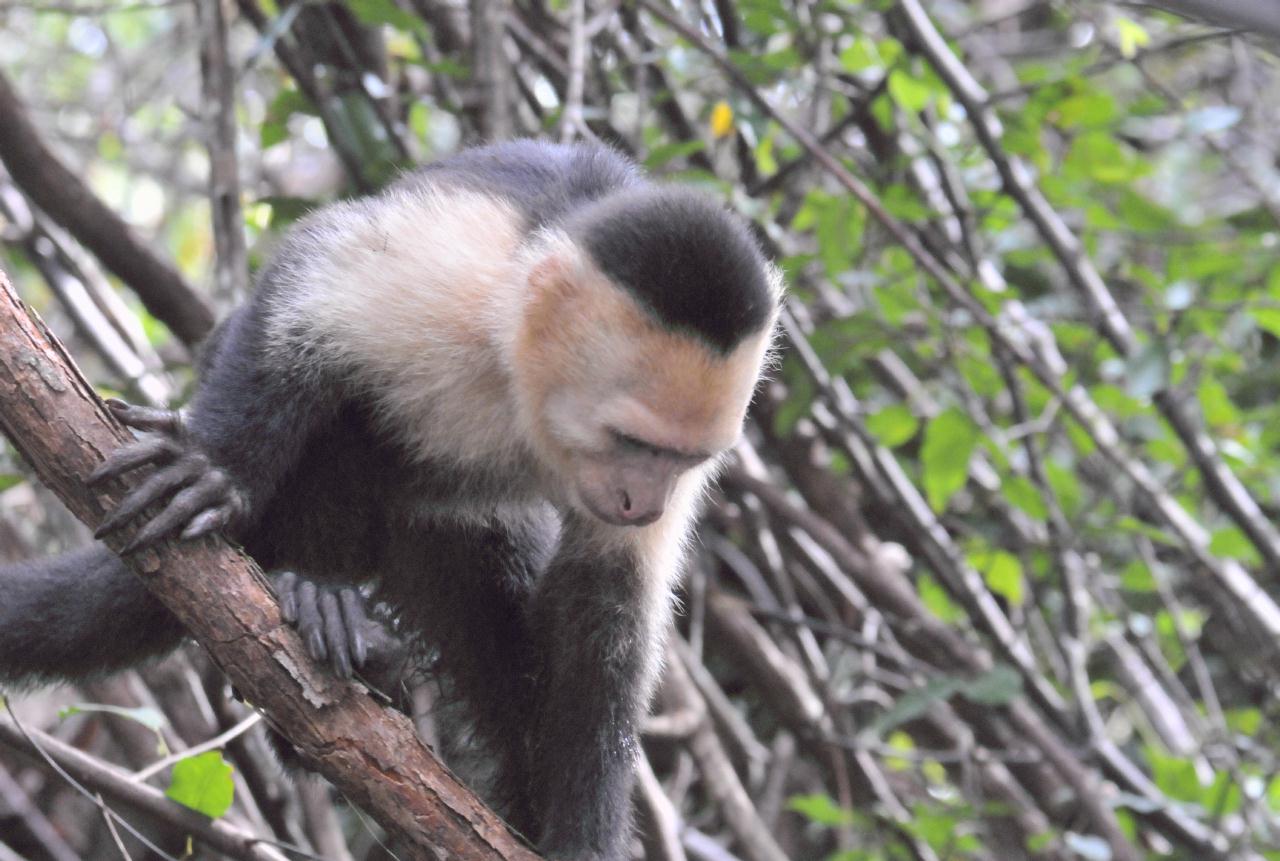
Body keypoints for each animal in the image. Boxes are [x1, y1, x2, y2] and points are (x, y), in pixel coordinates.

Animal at [0, 139, 778, 854]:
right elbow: (312, 284)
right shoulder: (469, 269)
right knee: (341, 424)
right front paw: (215, 464)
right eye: (631, 441)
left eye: (680, 459)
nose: (644, 503)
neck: (527, 391)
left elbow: (605, 609)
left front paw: (583, 836)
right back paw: (318, 595)